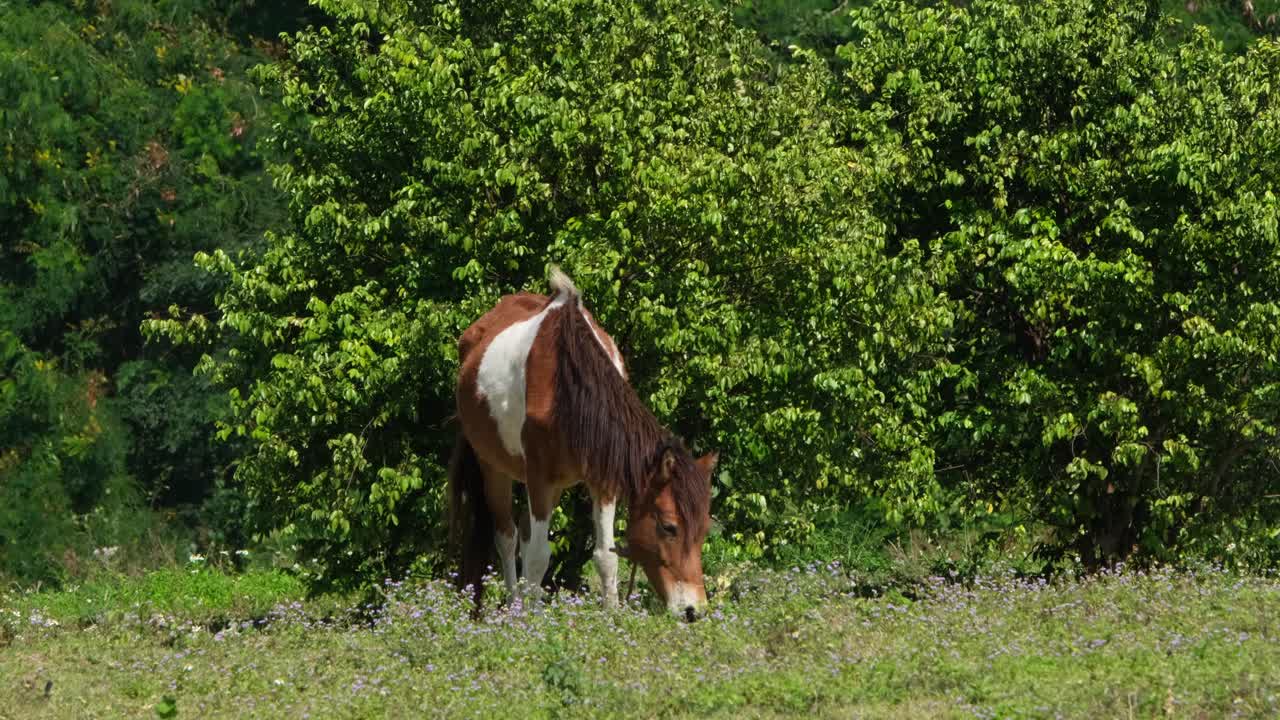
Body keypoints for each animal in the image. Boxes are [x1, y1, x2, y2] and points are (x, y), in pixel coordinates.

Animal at [448, 267, 717, 620]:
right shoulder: (539, 478)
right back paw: (515, 605)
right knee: (506, 537)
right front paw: (529, 623)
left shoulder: (602, 478)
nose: (693, 610)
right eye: (669, 527)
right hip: (493, 467)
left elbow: (606, 556)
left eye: (703, 530)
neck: (567, 388)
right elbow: (538, 556)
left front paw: (612, 618)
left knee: (523, 535)